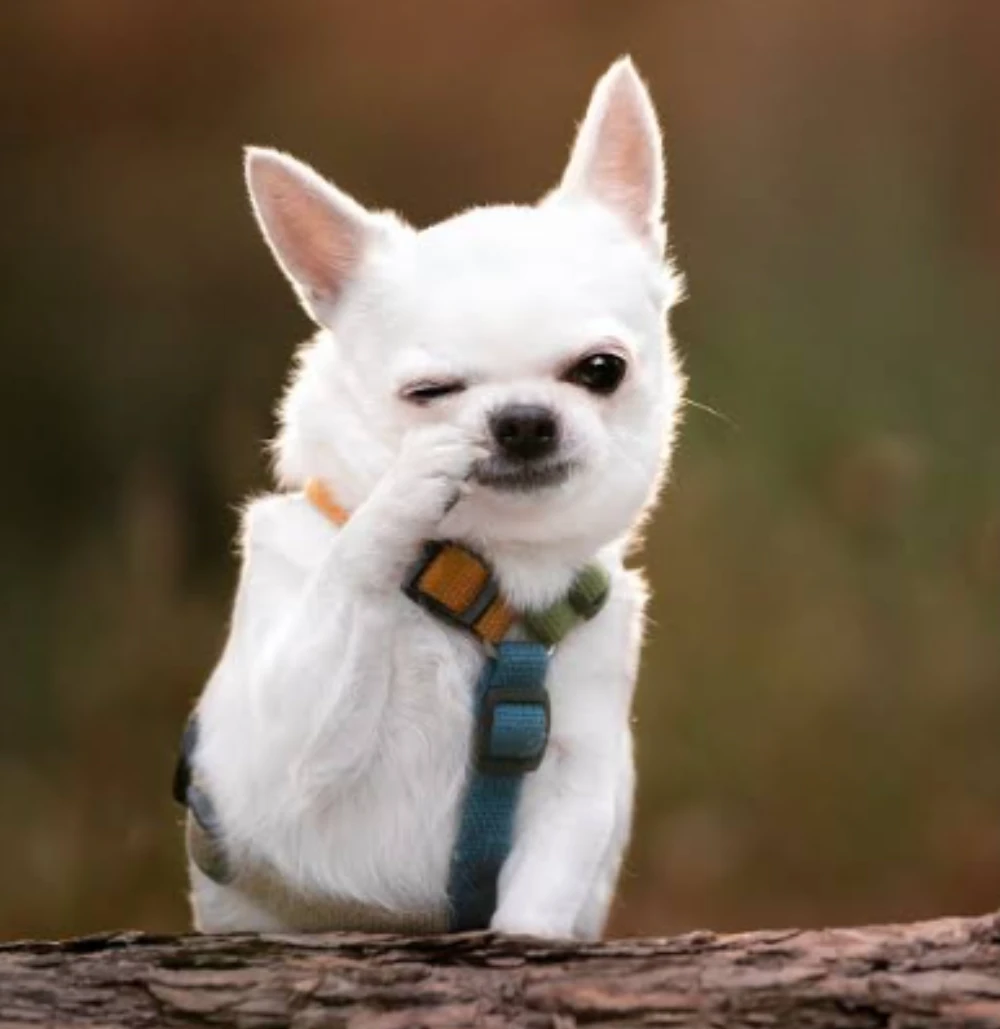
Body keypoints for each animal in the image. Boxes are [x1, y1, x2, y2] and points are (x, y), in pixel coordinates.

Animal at [177, 56, 685, 939]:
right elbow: (347, 581)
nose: (522, 419)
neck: (480, 581)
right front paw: (403, 490)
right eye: (432, 394)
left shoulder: (578, 778)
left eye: (601, 370)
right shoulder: (272, 777)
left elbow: (540, 891)